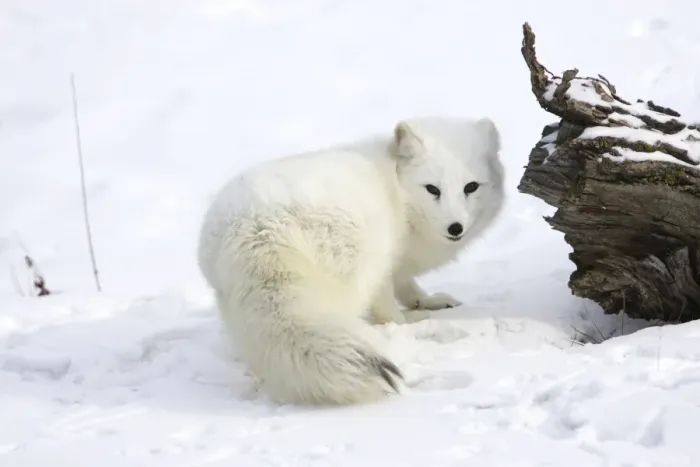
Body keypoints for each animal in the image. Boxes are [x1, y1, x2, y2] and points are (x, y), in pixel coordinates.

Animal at [197, 116, 505, 405]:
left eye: (471, 187)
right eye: (432, 189)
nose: (455, 228)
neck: (399, 193)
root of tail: (258, 226)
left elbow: (408, 286)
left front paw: (426, 301)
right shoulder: (385, 264)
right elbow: (388, 306)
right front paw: (410, 319)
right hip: (360, 262)